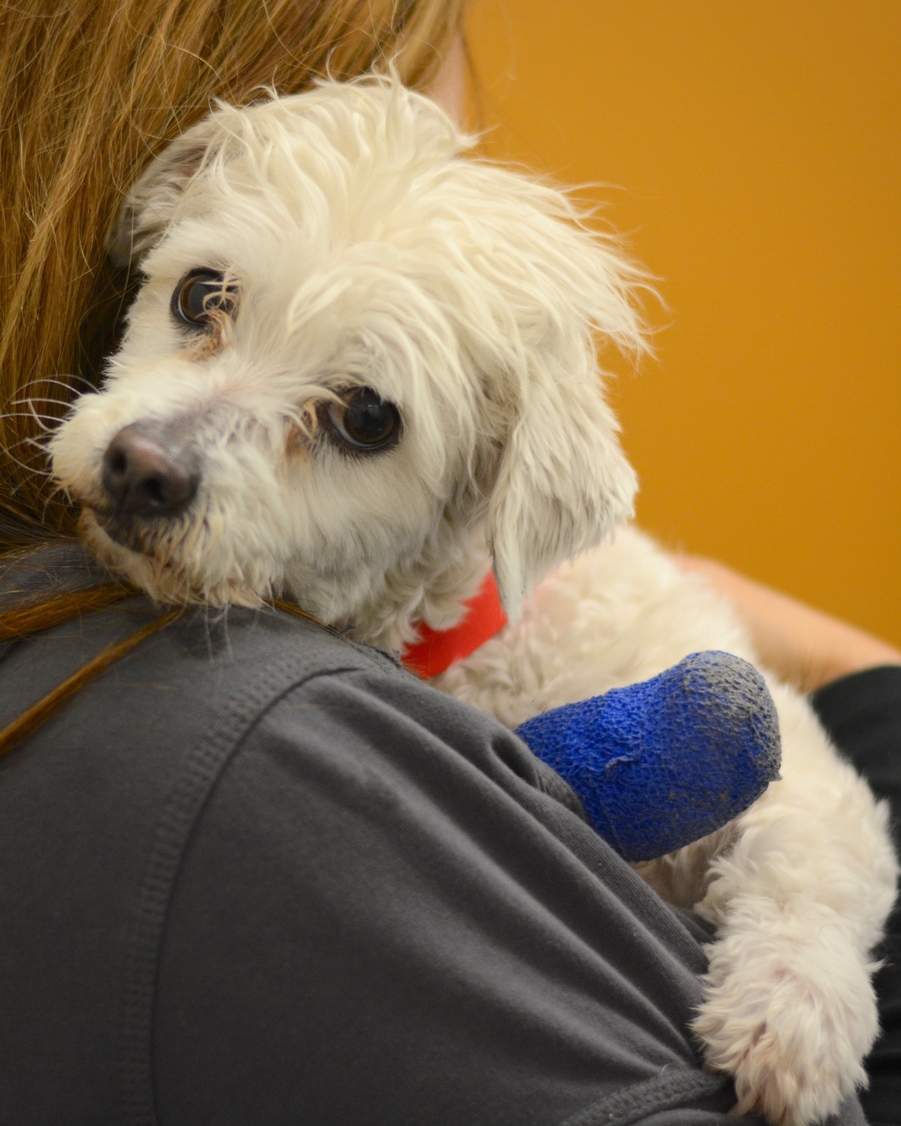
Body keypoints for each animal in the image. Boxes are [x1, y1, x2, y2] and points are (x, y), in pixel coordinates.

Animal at [52, 81, 896, 1126]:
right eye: (199, 295)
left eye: (366, 418)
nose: (141, 468)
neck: (457, 639)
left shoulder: (792, 755)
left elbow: (808, 846)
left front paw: (791, 1008)